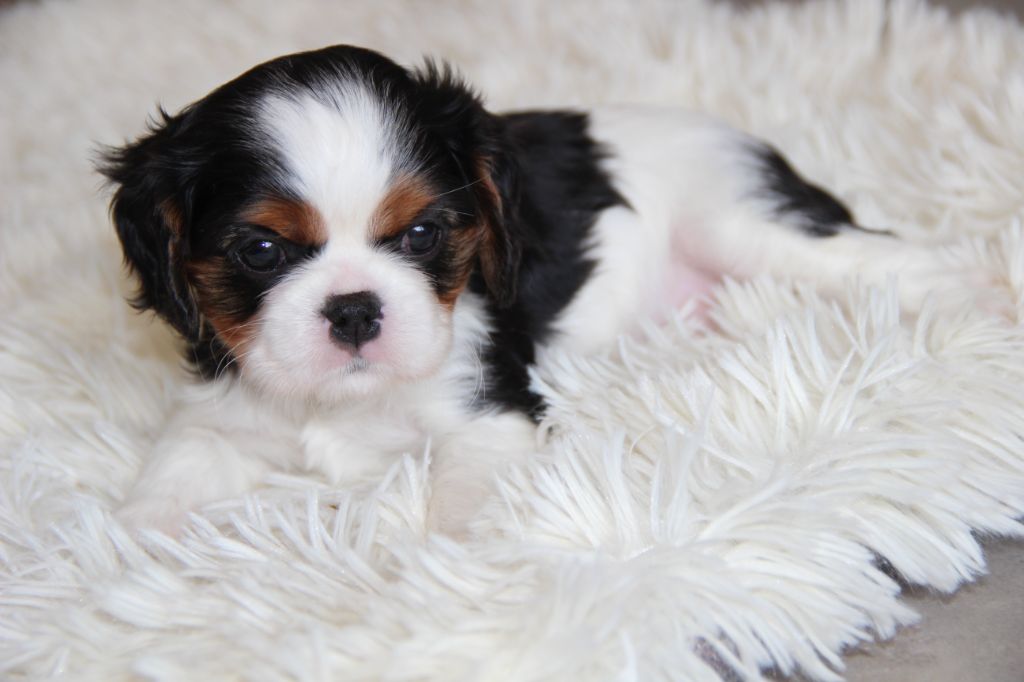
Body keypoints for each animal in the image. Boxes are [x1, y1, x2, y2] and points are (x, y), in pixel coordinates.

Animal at [103, 43, 966, 532]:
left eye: (424, 235)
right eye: (260, 251)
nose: (354, 310)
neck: (346, 400)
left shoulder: (492, 409)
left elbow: (462, 497)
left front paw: (448, 560)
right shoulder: (220, 413)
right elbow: (173, 472)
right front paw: (129, 545)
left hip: (743, 219)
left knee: (893, 263)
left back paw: (973, 301)